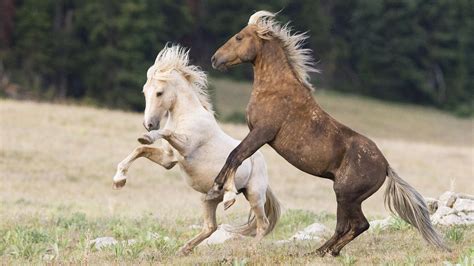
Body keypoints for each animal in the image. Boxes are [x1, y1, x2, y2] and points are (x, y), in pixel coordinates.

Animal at [112, 45, 280, 256]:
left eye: (159, 93)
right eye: (144, 91)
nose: (149, 124)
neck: (186, 115)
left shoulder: (186, 147)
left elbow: (165, 132)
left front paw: (148, 137)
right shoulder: (168, 159)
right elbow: (140, 149)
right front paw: (119, 179)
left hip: (254, 195)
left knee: (262, 224)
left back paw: (248, 244)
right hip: (208, 199)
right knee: (210, 227)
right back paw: (184, 249)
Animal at [205, 11, 448, 256]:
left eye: (239, 37)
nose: (215, 59)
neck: (276, 89)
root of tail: (386, 166)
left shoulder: (262, 133)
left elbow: (236, 155)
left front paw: (220, 191)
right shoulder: (257, 134)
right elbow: (237, 155)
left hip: (345, 194)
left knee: (354, 225)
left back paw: (321, 252)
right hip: (349, 198)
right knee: (352, 226)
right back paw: (323, 252)